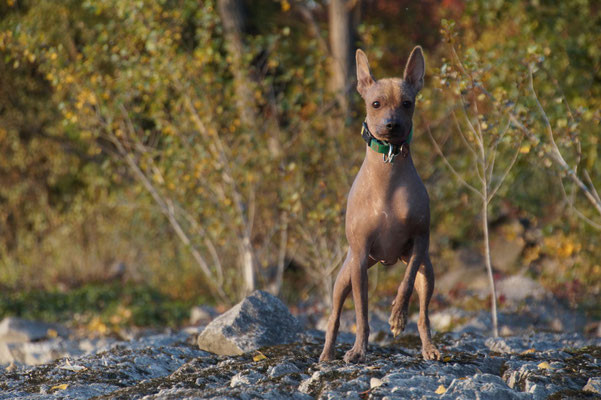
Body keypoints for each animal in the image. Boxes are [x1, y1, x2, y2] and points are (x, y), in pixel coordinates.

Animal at [318, 46, 440, 362]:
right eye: (376, 104)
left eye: (407, 104)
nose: (391, 124)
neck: (389, 174)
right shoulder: (360, 258)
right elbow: (361, 313)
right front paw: (358, 350)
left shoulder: (420, 243)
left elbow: (405, 285)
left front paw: (397, 317)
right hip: (344, 275)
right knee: (334, 316)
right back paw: (327, 353)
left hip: (428, 272)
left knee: (424, 316)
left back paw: (429, 347)